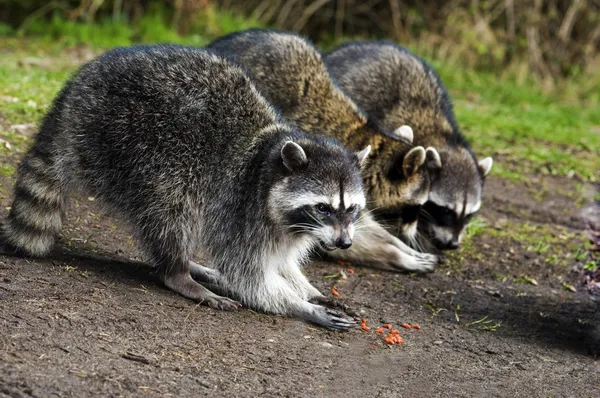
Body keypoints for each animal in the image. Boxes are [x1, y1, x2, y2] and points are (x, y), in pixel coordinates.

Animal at [1, 44, 370, 330]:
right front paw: (302, 306)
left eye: (351, 209)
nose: (345, 243)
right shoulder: (241, 209)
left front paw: (307, 290)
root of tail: (73, 94)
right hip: (135, 142)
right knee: (173, 206)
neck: (268, 160)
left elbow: (283, 262)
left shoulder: (286, 227)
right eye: (323, 207)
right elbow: (249, 276)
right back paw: (178, 272)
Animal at [207, 29, 440, 274]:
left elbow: (361, 225)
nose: (411, 236)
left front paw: (400, 246)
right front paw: (396, 254)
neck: (363, 137)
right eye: (415, 207)